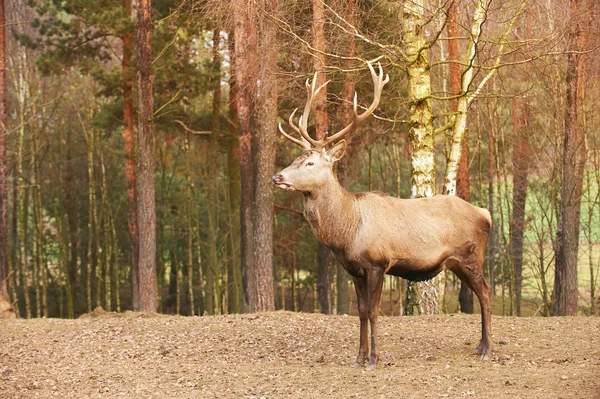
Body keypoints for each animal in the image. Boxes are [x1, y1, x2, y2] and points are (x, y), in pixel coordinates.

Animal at [272, 61, 492, 370]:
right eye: (295, 159)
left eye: (310, 163)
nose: (276, 177)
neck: (346, 232)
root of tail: (486, 213)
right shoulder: (354, 270)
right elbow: (362, 312)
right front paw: (358, 358)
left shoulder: (378, 263)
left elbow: (375, 312)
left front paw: (374, 359)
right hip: (458, 263)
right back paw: (478, 345)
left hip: (471, 255)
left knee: (485, 292)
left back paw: (487, 348)